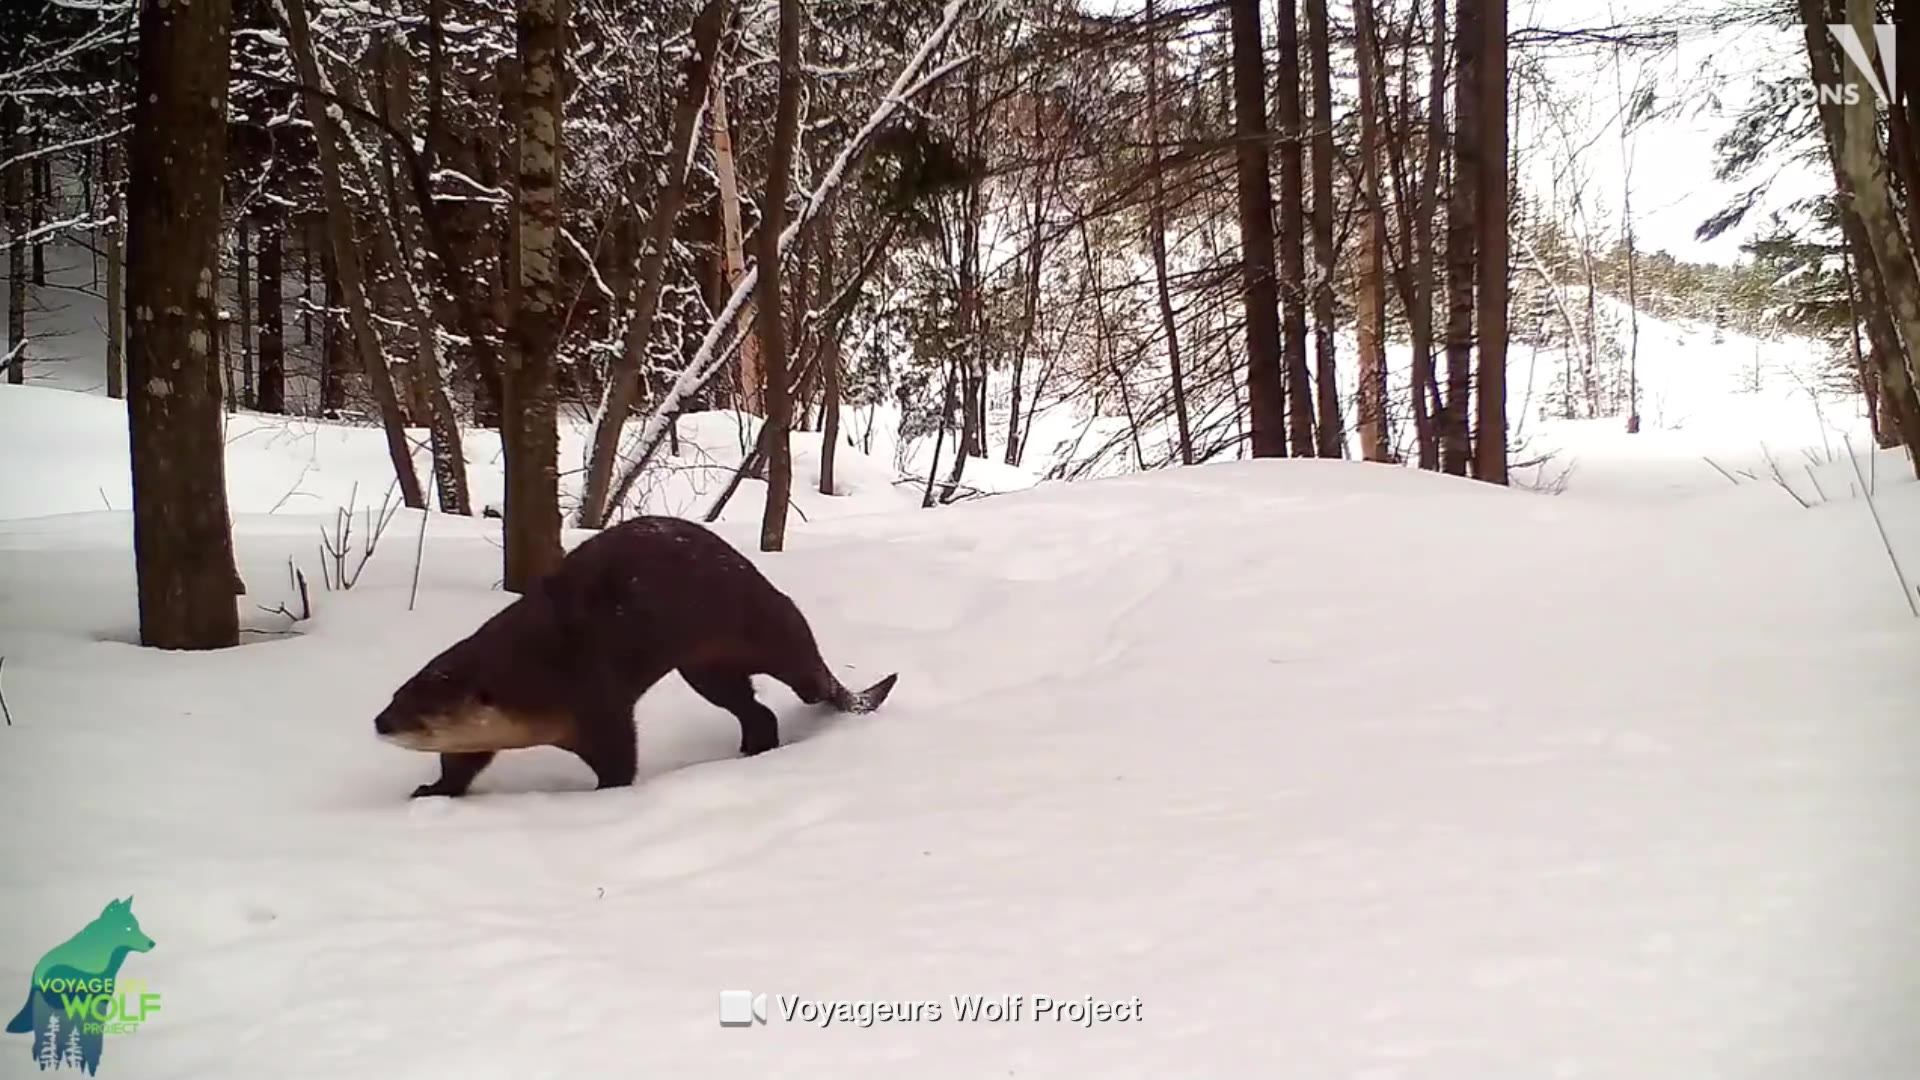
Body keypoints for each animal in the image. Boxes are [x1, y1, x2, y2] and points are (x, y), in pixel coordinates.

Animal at [374, 515, 897, 797]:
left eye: (423, 712)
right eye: (397, 696)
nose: (379, 722)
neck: (537, 672)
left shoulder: (596, 698)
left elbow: (619, 756)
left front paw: (607, 794)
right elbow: (462, 763)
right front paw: (432, 791)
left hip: (772, 633)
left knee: (810, 682)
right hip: (704, 670)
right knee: (754, 708)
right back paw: (751, 751)